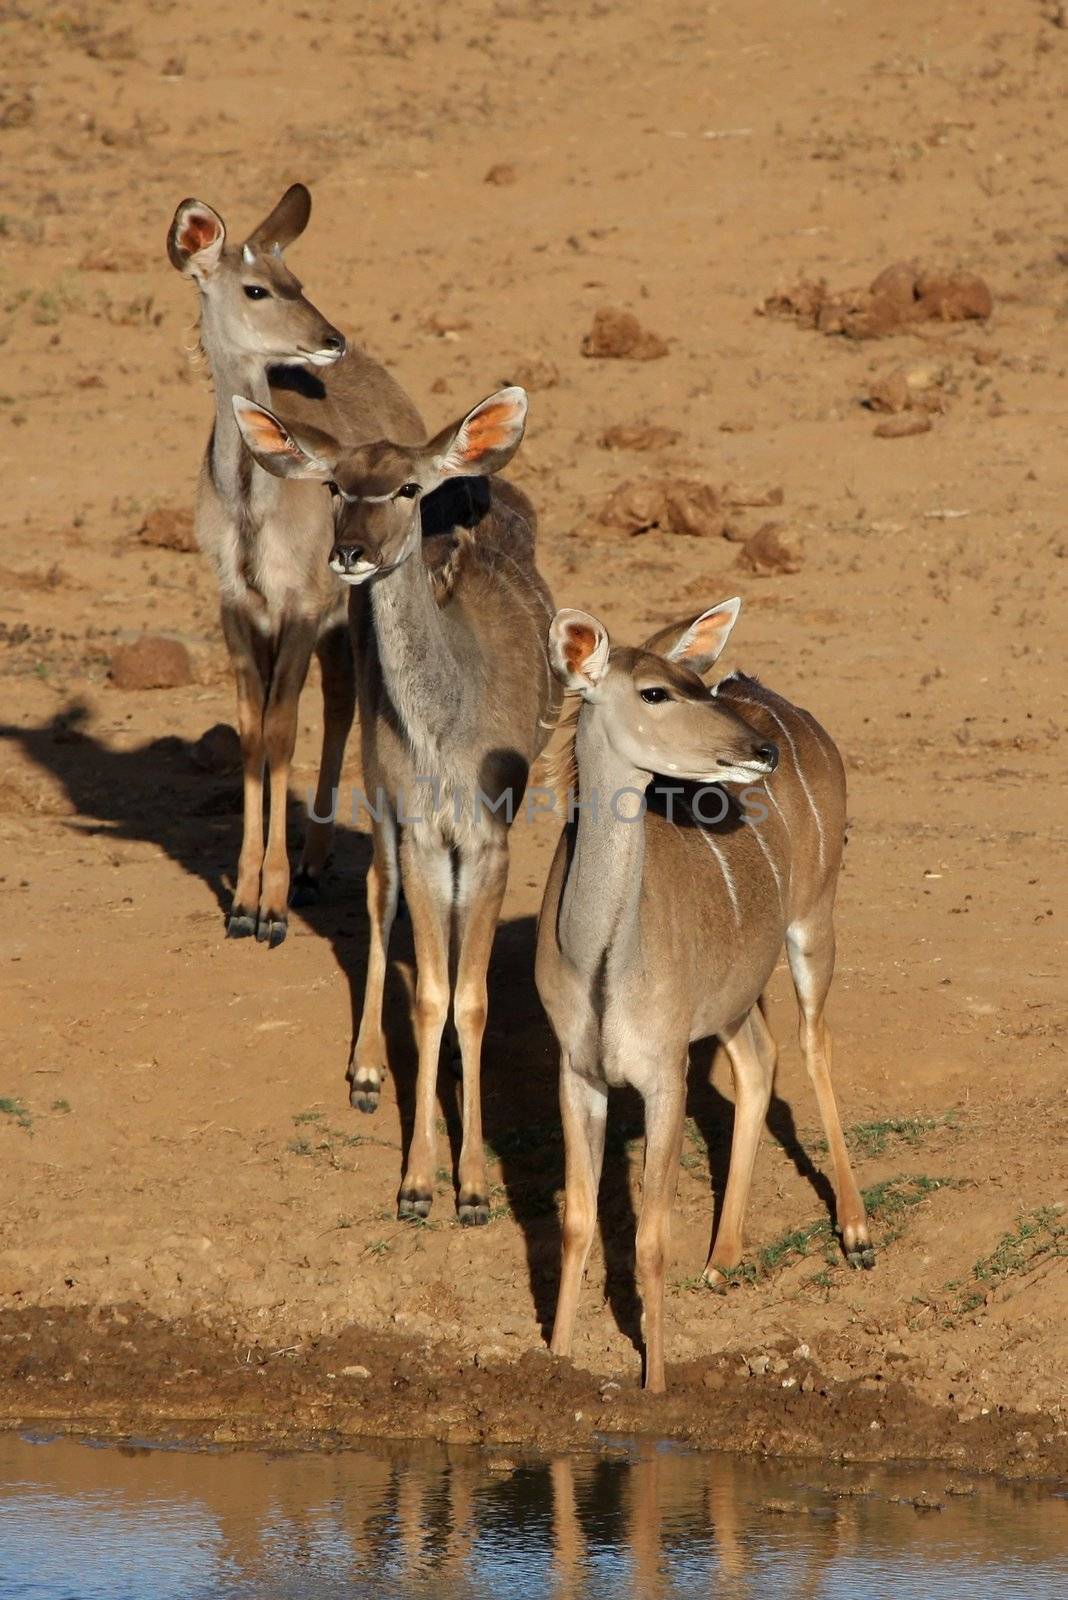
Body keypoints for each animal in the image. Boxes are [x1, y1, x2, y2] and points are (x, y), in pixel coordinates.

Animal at [167, 183, 425, 940]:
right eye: (256, 287)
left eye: (297, 281)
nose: (331, 340)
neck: (252, 503)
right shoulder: (236, 604)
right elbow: (253, 733)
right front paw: (241, 902)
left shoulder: (303, 601)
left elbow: (283, 731)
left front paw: (268, 907)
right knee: (337, 698)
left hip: (354, 602)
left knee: (344, 701)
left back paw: (311, 868)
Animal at [230, 384, 556, 1222]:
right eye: (335, 486)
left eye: (408, 487)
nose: (350, 552)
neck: (447, 730)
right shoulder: (417, 827)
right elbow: (432, 993)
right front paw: (420, 1184)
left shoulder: (488, 835)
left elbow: (470, 997)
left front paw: (473, 1186)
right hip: (379, 796)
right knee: (379, 898)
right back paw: (370, 1071)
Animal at [537, 598, 869, 1388]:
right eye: (655, 692)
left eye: (696, 682)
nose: (760, 750)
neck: (599, 959)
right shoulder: (578, 1071)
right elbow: (577, 1221)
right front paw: (556, 1360)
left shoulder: (664, 1072)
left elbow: (652, 1239)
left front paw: (655, 1382)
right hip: (734, 995)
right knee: (759, 1058)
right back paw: (724, 1257)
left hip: (814, 920)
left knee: (813, 1042)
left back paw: (855, 1231)